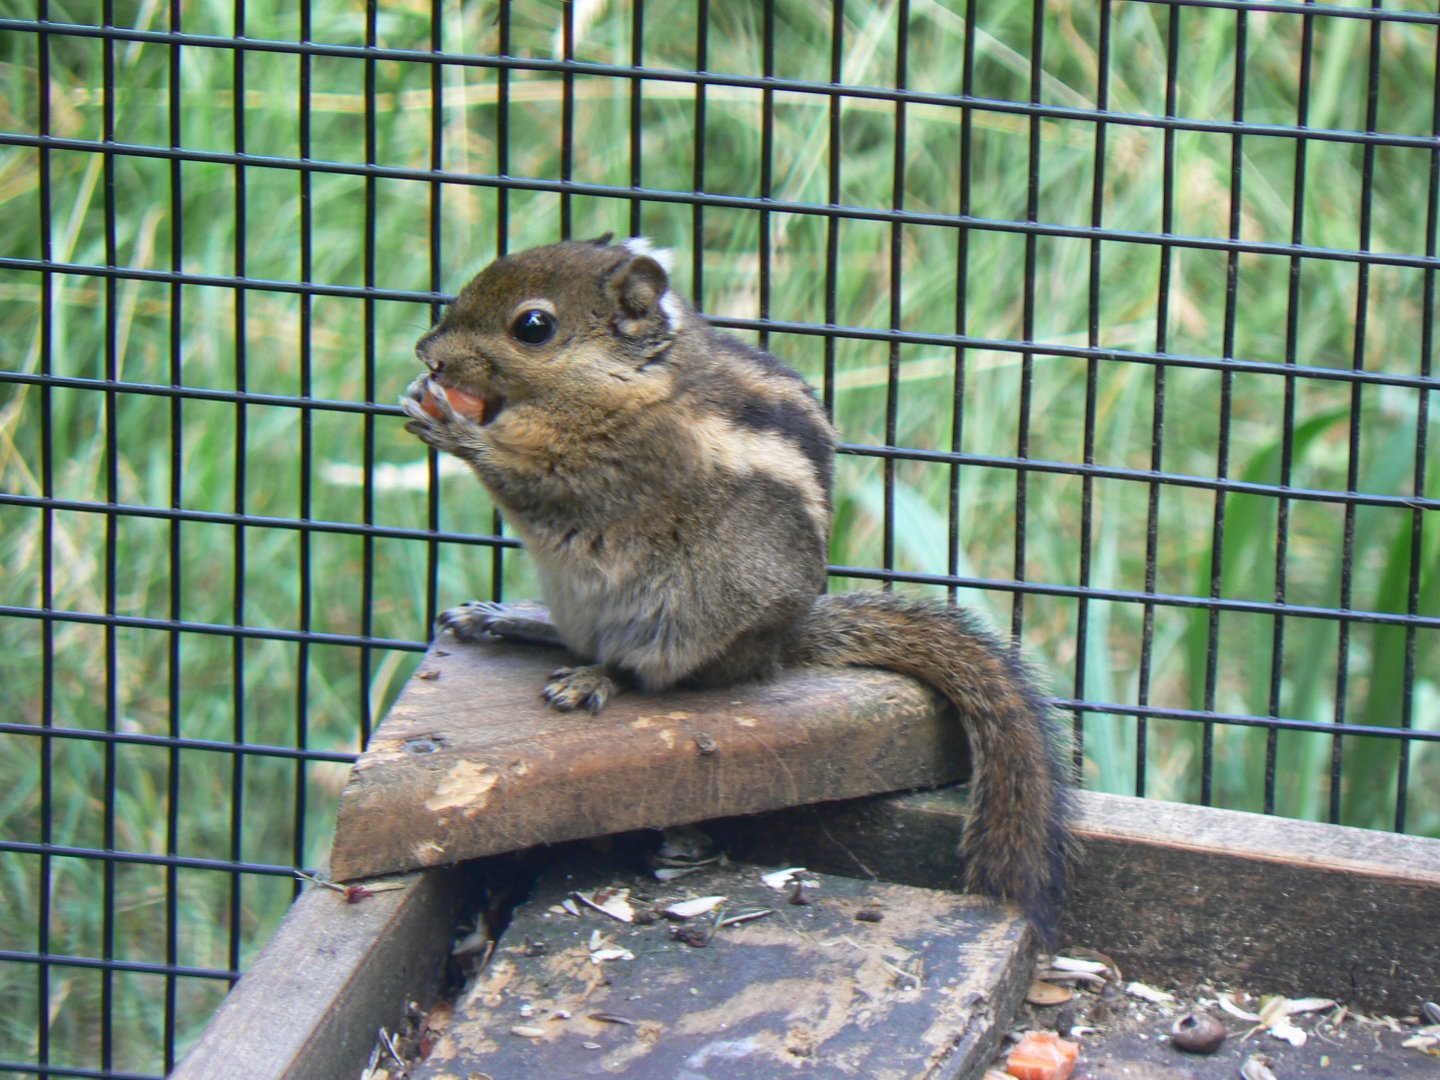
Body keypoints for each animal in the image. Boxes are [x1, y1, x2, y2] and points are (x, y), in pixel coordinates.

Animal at [400, 236, 1073, 941]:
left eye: (533, 326)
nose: (427, 352)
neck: (637, 381)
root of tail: (777, 647)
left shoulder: (609, 465)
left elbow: (528, 479)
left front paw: (454, 428)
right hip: (582, 600)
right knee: (572, 634)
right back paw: (505, 619)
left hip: (680, 615)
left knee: (647, 672)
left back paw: (594, 677)